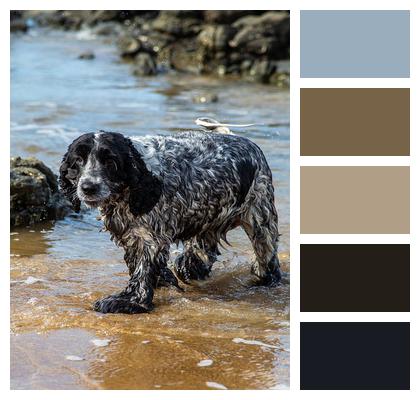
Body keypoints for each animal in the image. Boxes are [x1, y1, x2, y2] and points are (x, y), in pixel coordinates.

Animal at [59, 130, 280, 314]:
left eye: (110, 162)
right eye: (78, 160)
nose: (88, 187)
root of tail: (251, 145)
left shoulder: (150, 238)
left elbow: (142, 270)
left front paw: (131, 302)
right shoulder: (130, 233)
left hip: (261, 218)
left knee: (267, 259)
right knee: (202, 251)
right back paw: (191, 267)